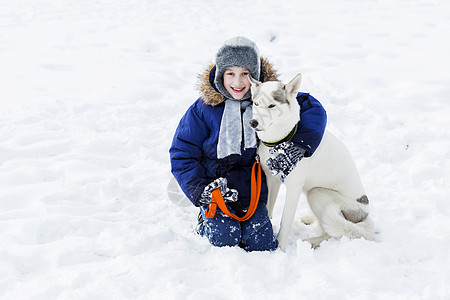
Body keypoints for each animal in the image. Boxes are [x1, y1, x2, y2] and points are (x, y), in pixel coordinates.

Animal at [248, 74, 374, 250]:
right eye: (256, 103)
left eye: (272, 105)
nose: (253, 123)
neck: (281, 141)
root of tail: (365, 214)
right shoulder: (272, 180)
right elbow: (269, 209)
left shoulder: (293, 188)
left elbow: (285, 222)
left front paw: (280, 249)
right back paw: (309, 218)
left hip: (317, 193)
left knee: (331, 232)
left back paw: (309, 242)